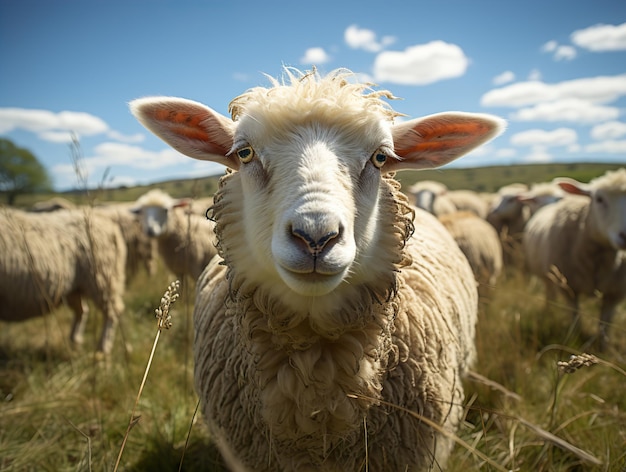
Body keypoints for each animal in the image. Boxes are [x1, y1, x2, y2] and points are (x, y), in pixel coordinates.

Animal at [0, 207, 127, 354]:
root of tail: (104, 220)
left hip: (103, 277)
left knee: (113, 312)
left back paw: (103, 349)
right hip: (75, 288)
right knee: (82, 310)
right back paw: (75, 341)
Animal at [520, 170, 624, 350]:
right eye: (599, 199)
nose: (625, 235)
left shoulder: (614, 292)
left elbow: (605, 325)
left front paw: (604, 349)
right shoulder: (568, 287)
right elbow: (575, 319)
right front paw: (575, 340)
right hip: (549, 276)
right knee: (549, 293)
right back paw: (548, 311)